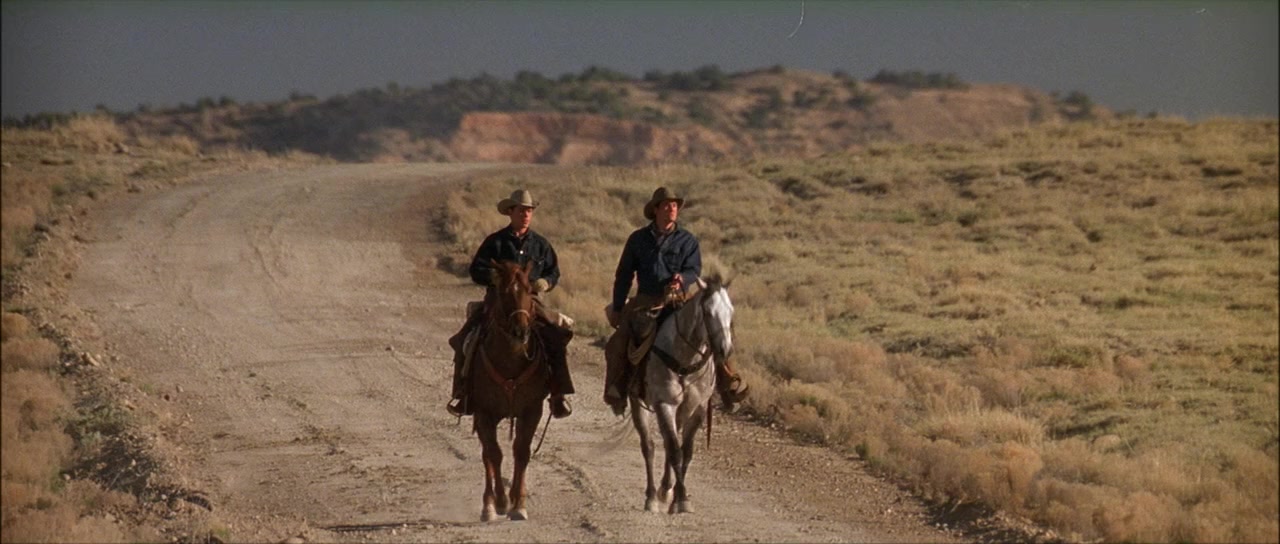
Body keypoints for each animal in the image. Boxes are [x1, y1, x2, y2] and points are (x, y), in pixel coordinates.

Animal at [467, 259, 549, 521]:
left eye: (530, 292)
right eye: (503, 293)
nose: (520, 331)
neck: (511, 360)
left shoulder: (532, 410)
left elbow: (521, 451)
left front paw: (518, 503)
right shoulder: (484, 413)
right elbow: (494, 454)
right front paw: (500, 503)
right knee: (487, 454)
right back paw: (489, 504)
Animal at [629, 273, 734, 514]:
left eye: (731, 312)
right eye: (708, 312)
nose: (725, 350)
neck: (685, 361)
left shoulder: (697, 408)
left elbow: (686, 451)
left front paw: (678, 497)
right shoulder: (665, 404)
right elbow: (675, 451)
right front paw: (681, 498)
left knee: (670, 442)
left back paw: (665, 489)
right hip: (639, 403)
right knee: (649, 446)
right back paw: (652, 496)